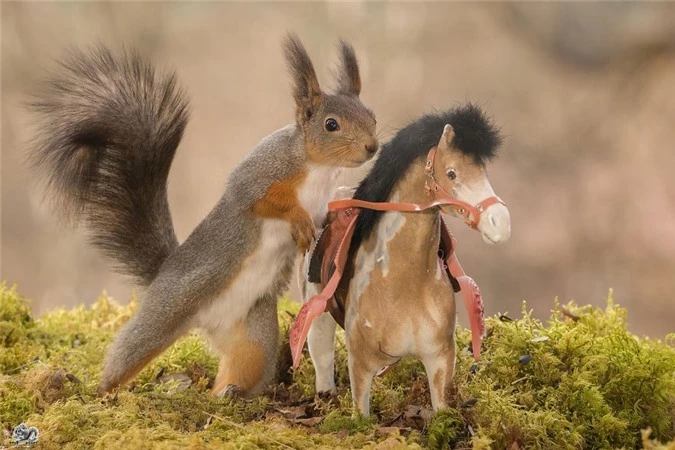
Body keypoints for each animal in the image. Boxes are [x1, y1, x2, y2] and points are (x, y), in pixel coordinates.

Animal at [29, 35, 378, 398]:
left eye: (372, 116)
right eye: (331, 125)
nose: (372, 146)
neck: (319, 168)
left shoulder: (322, 204)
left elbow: (327, 219)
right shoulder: (257, 175)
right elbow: (264, 201)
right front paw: (298, 222)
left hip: (254, 333)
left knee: (244, 365)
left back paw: (226, 395)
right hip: (167, 309)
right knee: (131, 350)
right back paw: (101, 390)